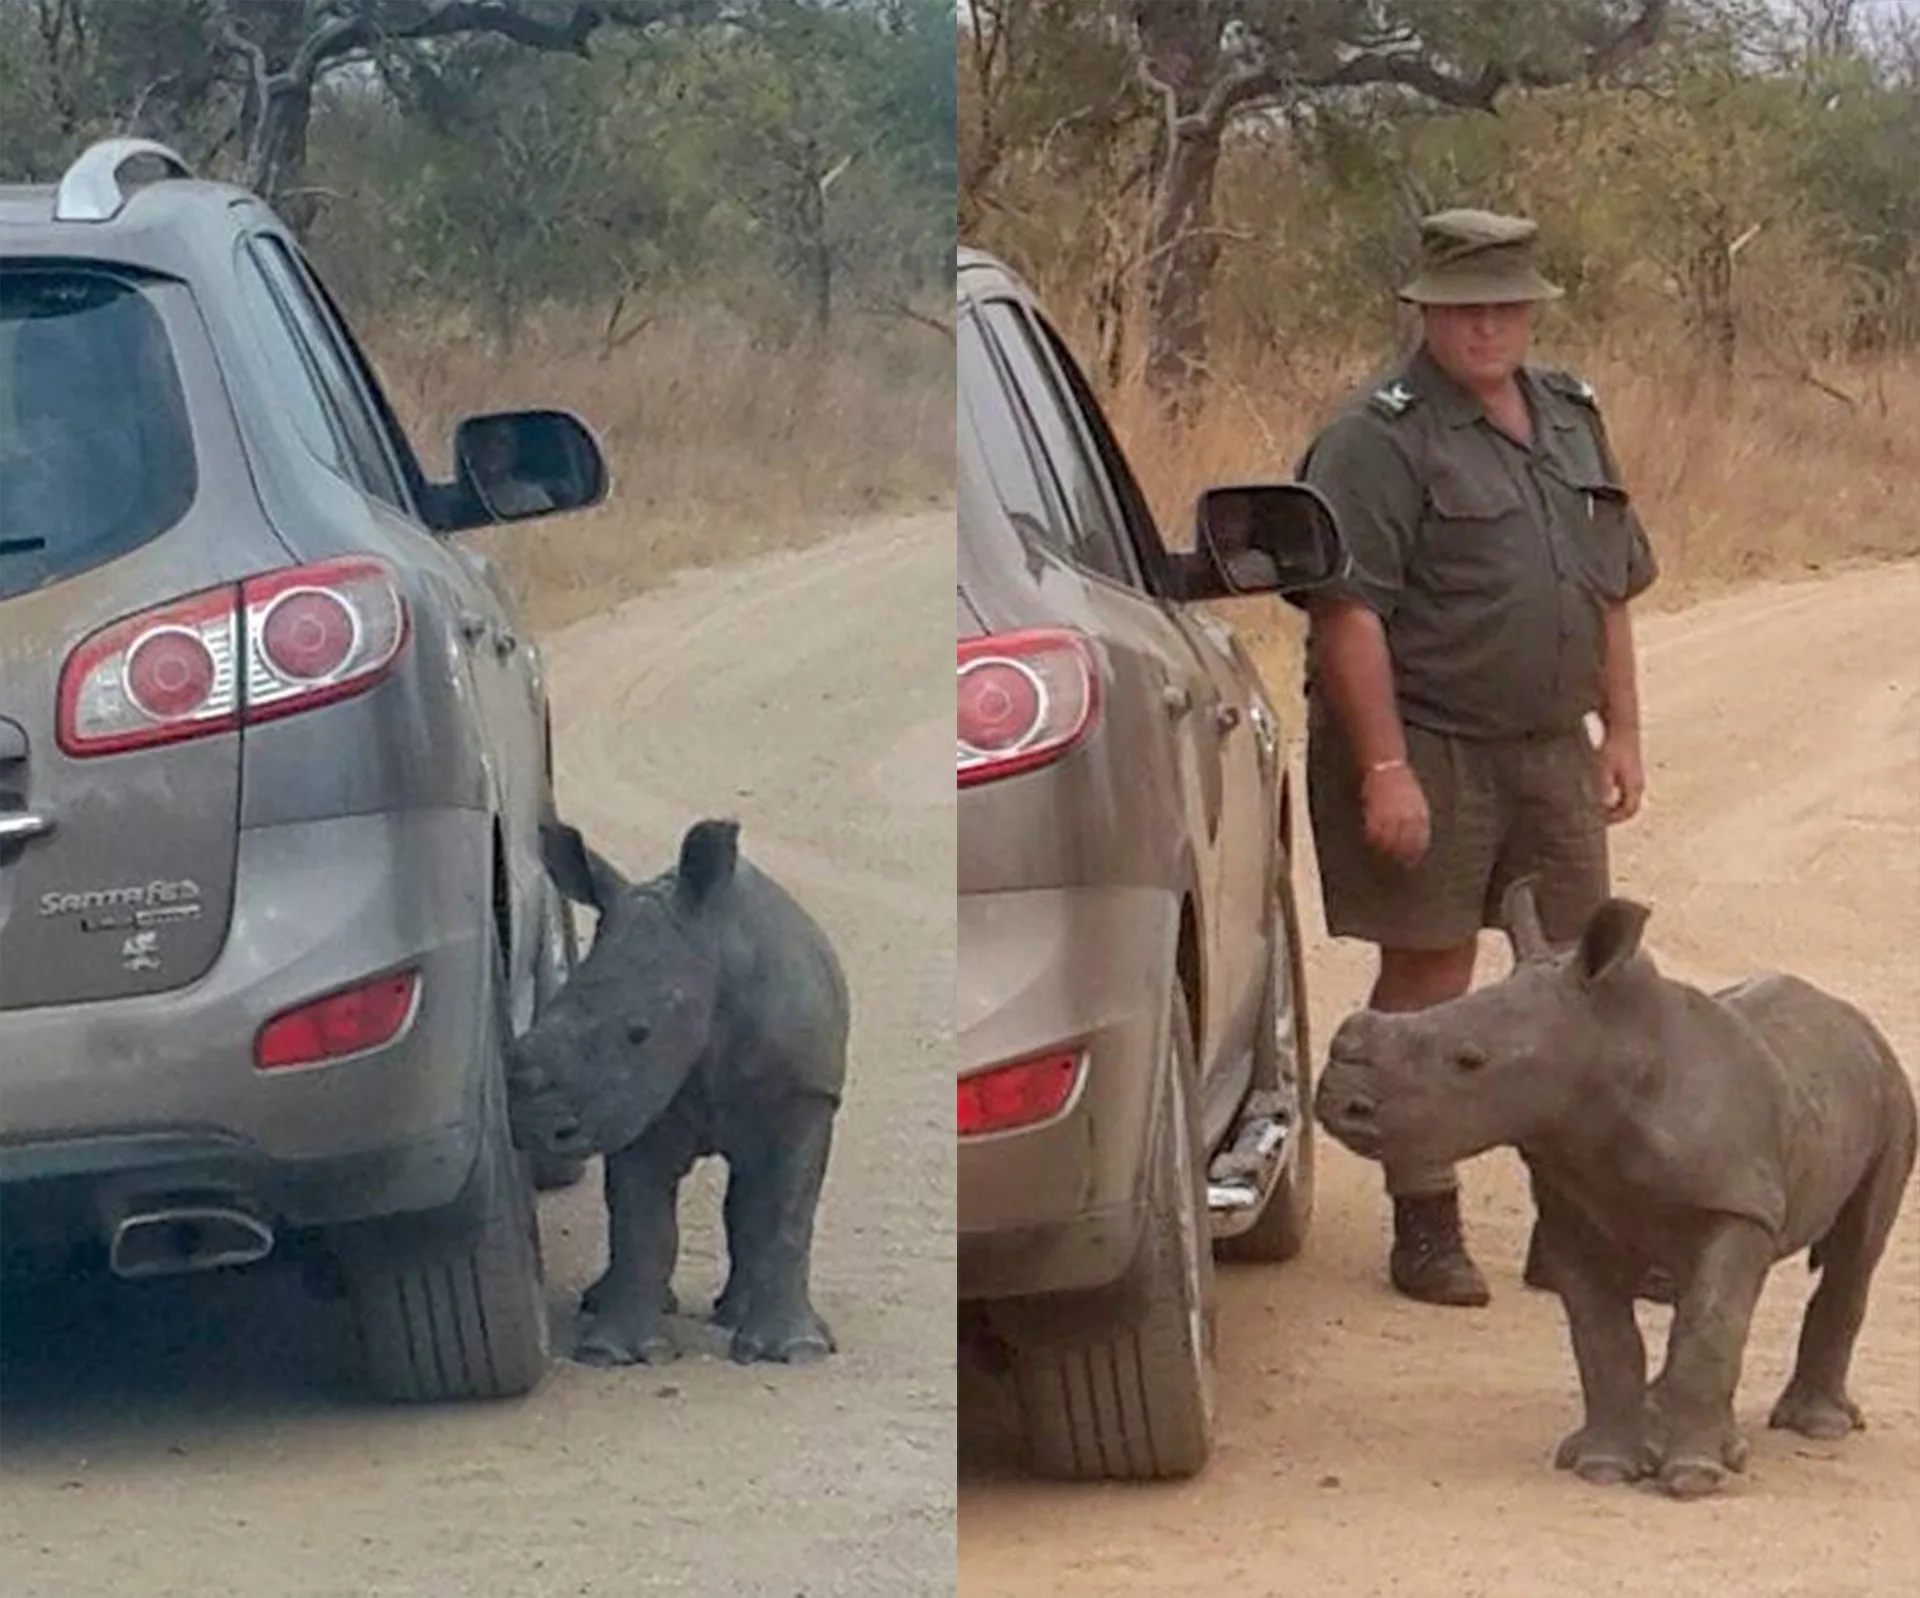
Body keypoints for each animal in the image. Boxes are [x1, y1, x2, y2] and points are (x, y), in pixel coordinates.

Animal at [507, 816, 850, 1368]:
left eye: (639, 1033)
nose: (535, 1125)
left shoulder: (804, 1095)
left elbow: (785, 1213)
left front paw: (797, 1352)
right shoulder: (636, 1100)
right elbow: (641, 1222)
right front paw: (612, 1352)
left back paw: (734, 1315)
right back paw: (605, 1304)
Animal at [1314, 880, 1917, 1500]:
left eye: (1469, 1060)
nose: (1338, 1103)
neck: (1610, 1048)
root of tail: (1854, 1019)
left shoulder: (1734, 1203)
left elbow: (1710, 1329)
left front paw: (1692, 1478)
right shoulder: (1571, 1206)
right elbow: (1603, 1336)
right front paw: (1603, 1467)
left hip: (1892, 1092)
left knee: (1854, 1250)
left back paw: (1815, 1428)